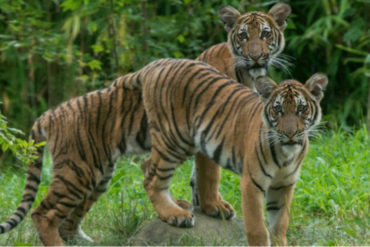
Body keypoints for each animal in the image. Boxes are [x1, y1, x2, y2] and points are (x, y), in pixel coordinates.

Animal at [126, 58, 326, 245]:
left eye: (301, 109)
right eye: (278, 110)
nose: (290, 133)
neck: (286, 155)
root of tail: (158, 62)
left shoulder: (284, 185)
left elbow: (280, 225)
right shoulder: (252, 184)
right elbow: (258, 228)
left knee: (146, 164)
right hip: (174, 140)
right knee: (152, 180)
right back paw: (176, 214)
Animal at [191, 2, 292, 220]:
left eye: (265, 34)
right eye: (243, 35)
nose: (255, 57)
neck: (248, 76)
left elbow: (196, 173)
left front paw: (200, 202)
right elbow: (209, 171)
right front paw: (213, 206)